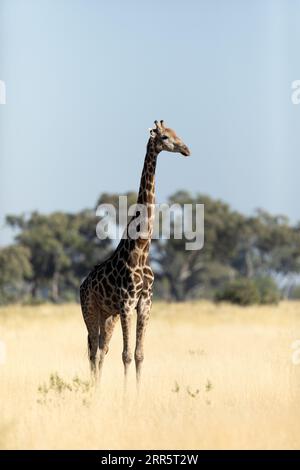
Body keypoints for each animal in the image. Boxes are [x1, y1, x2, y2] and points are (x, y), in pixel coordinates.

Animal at [80, 119, 190, 388]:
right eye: (164, 137)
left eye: (176, 132)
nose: (186, 149)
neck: (141, 251)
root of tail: (82, 285)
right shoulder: (127, 303)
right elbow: (126, 355)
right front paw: (125, 394)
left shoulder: (145, 303)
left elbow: (139, 354)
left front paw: (138, 393)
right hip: (90, 310)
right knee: (92, 350)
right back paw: (93, 389)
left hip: (107, 315)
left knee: (101, 350)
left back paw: (98, 389)